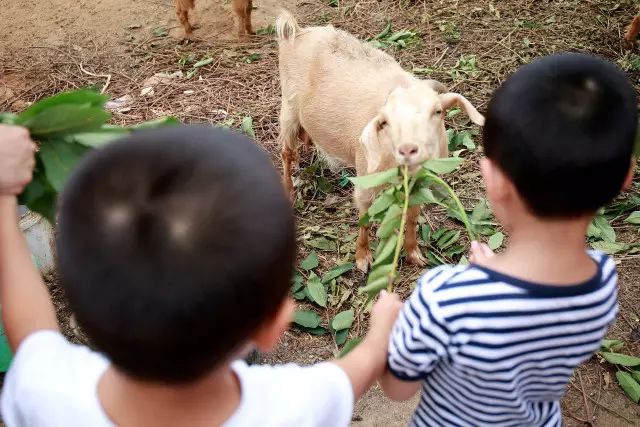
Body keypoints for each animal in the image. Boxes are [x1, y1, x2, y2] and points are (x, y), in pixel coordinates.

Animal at [276, 11, 484, 274]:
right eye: (385, 122)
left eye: (438, 111)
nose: (409, 149)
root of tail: (298, 31)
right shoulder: (365, 179)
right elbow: (365, 218)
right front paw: (363, 259)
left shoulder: (420, 184)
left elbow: (412, 217)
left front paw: (415, 254)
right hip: (288, 107)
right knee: (286, 153)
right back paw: (289, 192)